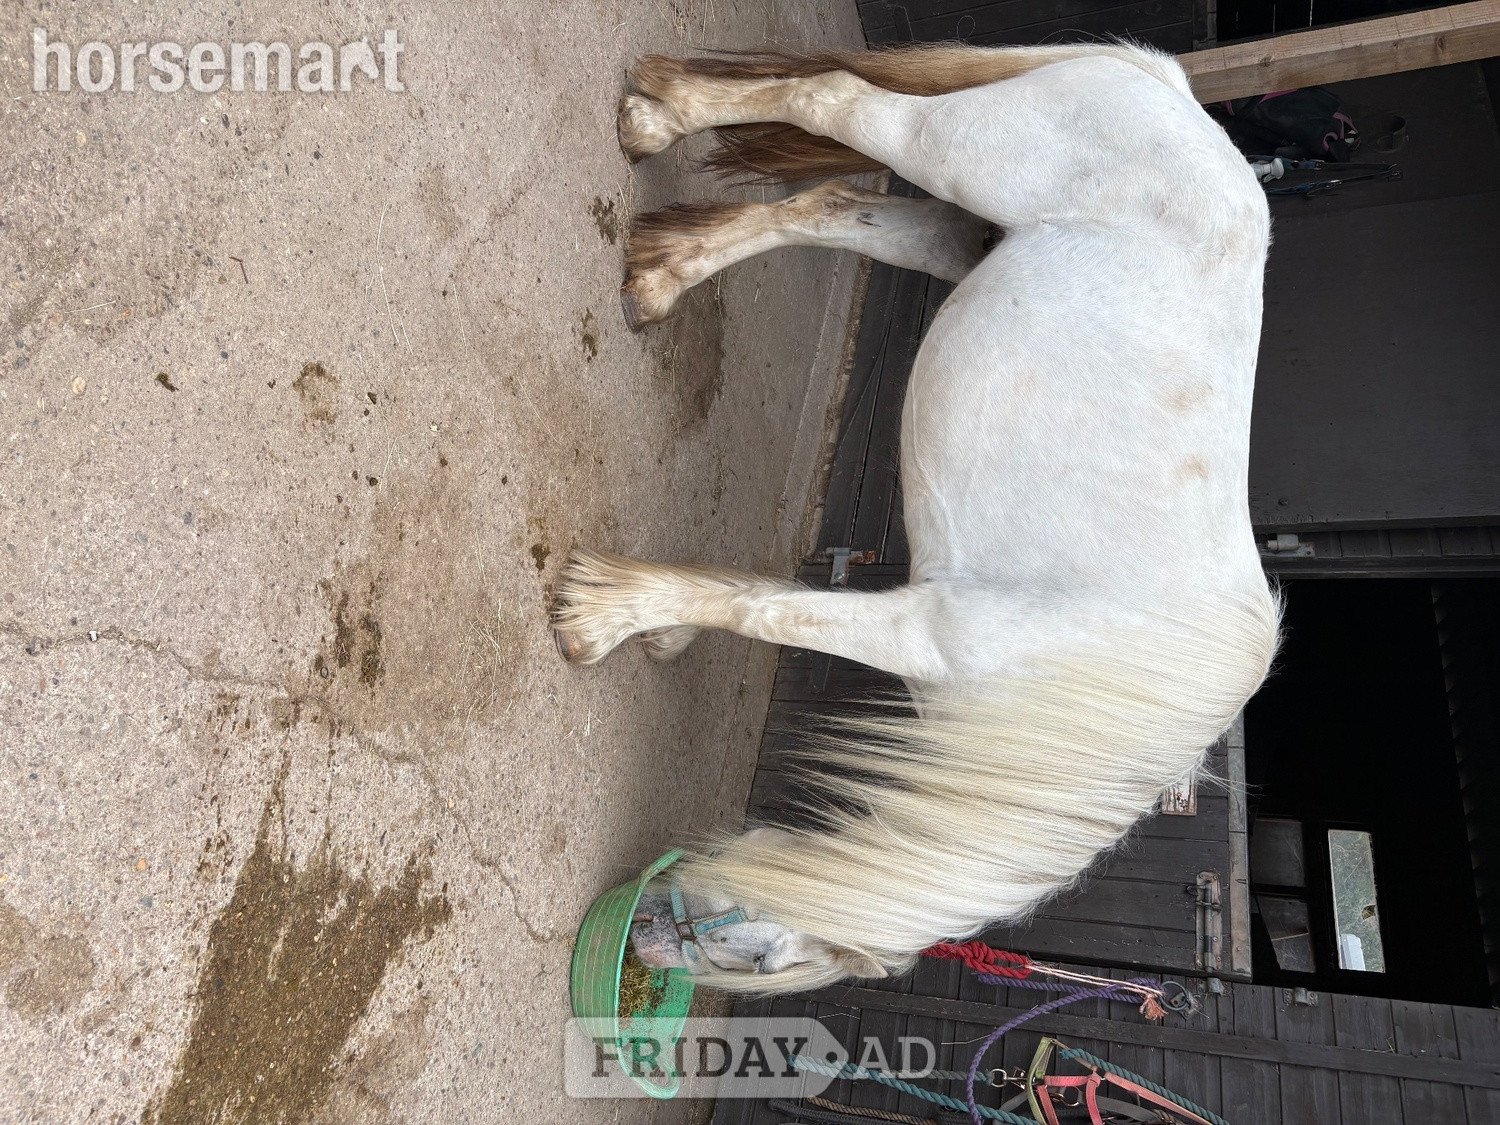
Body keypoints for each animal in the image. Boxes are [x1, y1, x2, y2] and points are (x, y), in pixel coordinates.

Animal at [552, 41, 1281, 993]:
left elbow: (759, 599)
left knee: (838, 209)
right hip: (947, 149)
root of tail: (1175, 93)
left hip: (956, 235)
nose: (639, 942)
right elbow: (767, 609)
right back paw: (659, 119)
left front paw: (655, 626)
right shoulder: (924, 630)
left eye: (751, 952)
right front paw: (602, 618)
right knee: (833, 100)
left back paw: (666, 275)